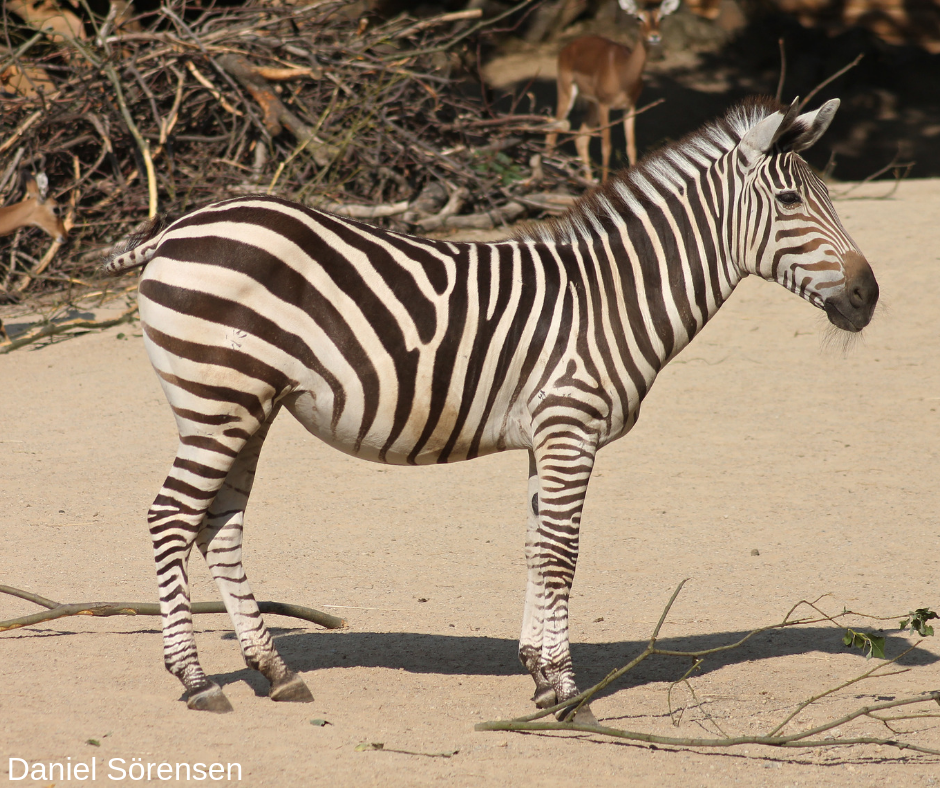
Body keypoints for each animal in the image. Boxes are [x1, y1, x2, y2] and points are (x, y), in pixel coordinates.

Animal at [104, 96, 878, 718]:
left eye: (829, 197)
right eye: (790, 203)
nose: (868, 296)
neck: (611, 297)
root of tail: (178, 227)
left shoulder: (547, 437)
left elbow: (537, 547)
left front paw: (539, 675)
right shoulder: (569, 427)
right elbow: (563, 554)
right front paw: (568, 695)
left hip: (248, 406)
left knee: (220, 526)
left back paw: (275, 670)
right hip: (219, 400)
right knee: (170, 516)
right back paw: (197, 680)